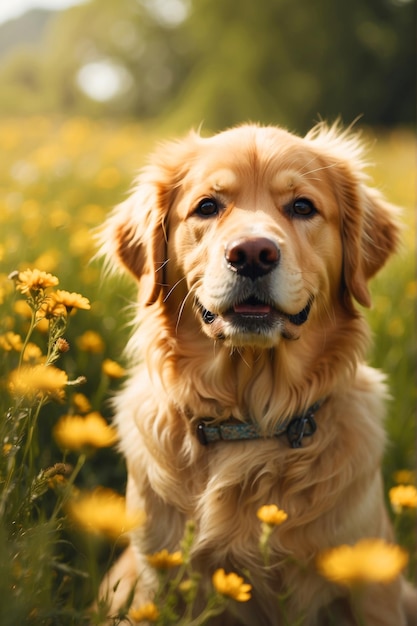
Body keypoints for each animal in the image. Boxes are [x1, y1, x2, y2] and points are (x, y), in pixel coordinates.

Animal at [98, 123, 412, 624]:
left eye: (302, 206)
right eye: (207, 206)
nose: (252, 253)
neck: (251, 422)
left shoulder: (372, 593)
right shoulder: (157, 580)